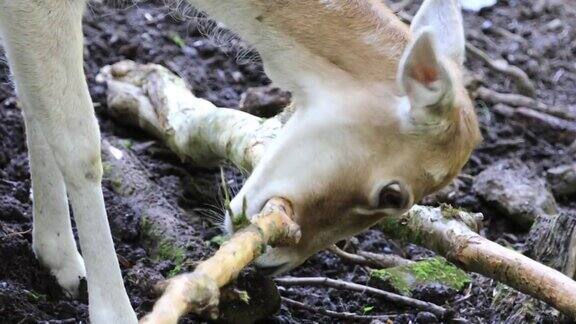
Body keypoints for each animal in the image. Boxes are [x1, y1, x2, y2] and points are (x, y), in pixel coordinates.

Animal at [0, 0, 480, 322]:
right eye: (393, 195)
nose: (275, 262)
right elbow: (79, 142)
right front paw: (113, 311)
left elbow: (34, 103)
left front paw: (59, 261)